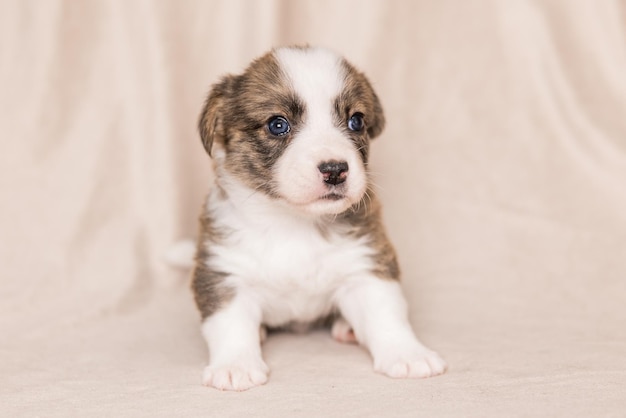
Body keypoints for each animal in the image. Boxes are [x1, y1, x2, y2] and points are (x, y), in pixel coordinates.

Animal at [190, 45, 444, 392]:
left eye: (356, 121)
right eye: (277, 125)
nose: (335, 170)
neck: (294, 222)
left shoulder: (366, 267)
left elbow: (387, 315)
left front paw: (407, 353)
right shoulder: (224, 274)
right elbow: (229, 325)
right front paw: (235, 365)